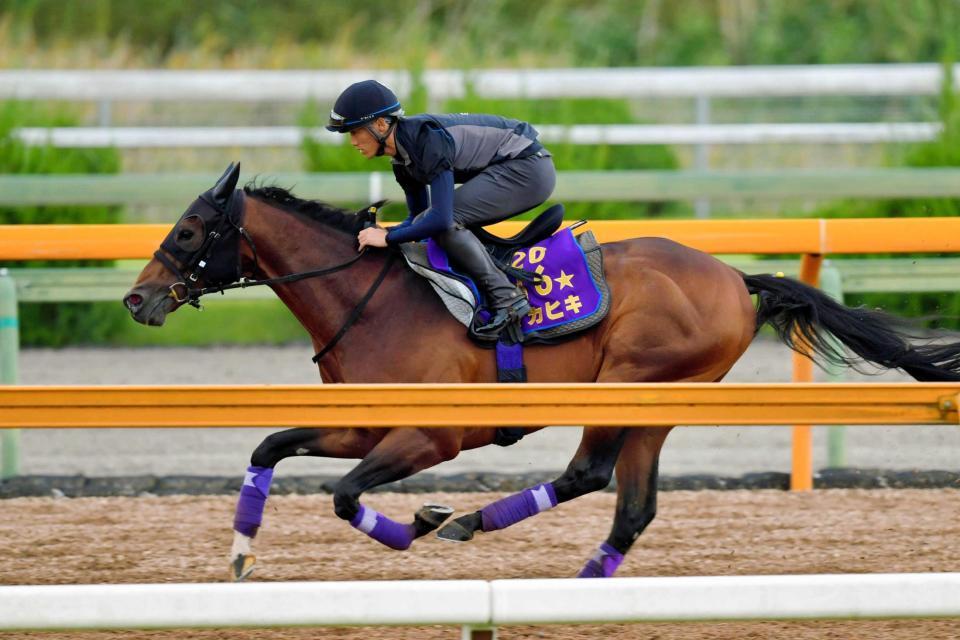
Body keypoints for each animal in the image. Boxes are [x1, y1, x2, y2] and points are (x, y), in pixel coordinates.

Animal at [124, 163, 960, 581]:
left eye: (190, 231)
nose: (137, 297)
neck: (372, 300)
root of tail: (734, 275)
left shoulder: (431, 435)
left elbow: (345, 494)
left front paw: (420, 522)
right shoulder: (363, 423)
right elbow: (270, 446)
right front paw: (240, 551)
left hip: (632, 384)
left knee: (592, 473)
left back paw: (470, 523)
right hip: (657, 404)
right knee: (629, 506)